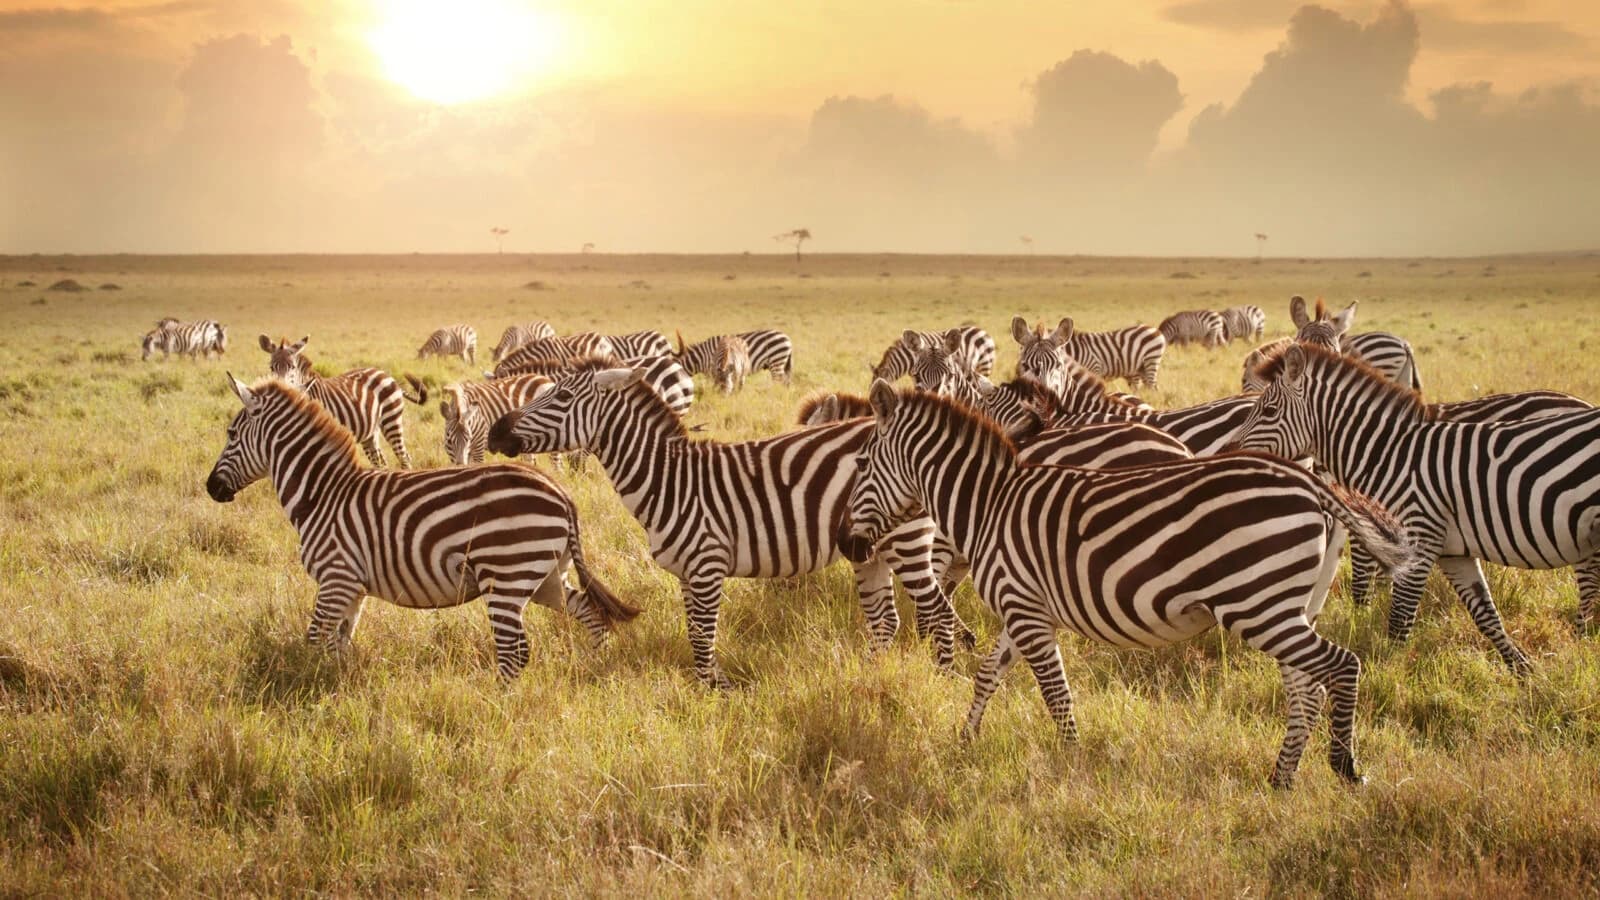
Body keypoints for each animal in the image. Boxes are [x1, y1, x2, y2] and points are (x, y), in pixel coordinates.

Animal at [206, 375, 638, 678]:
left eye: (230, 434)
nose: (211, 488)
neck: (323, 494)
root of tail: (562, 494)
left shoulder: (335, 578)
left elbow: (314, 640)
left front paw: (308, 689)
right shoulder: (353, 587)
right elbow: (339, 644)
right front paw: (336, 687)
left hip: (506, 575)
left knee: (515, 652)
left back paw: (498, 705)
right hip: (545, 575)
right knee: (588, 612)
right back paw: (595, 664)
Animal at [258, 335, 426, 467]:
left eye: (292, 367)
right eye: (272, 367)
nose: (281, 387)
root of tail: (386, 375)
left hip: (391, 419)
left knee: (404, 457)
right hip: (371, 431)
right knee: (381, 461)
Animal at [484, 358, 955, 683]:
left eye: (561, 398)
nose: (495, 432)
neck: (669, 481)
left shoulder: (707, 565)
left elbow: (702, 637)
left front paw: (715, 692)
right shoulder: (686, 574)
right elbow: (694, 632)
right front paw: (703, 690)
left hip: (906, 541)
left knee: (938, 612)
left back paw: (945, 677)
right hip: (869, 550)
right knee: (886, 620)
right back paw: (874, 675)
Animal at [840, 381, 1414, 789]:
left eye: (862, 463)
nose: (848, 545)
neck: (989, 504)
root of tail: (1311, 481)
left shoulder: (1024, 610)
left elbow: (1056, 694)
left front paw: (1071, 764)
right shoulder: (1022, 609)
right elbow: (987, 675)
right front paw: (965, 740)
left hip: (1259, 605)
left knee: (1341, 666)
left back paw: (1344, 765)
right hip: (1290, 606)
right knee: (1306, 688)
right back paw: (1281, 779)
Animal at [1227, 344, 1600, 670]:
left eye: (1269, 411)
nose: (1229, 451)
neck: (1390, 454)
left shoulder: (1416, 540)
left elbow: (1398, 623)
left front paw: (1388, 682)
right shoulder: (1452, 552)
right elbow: (1486, 616)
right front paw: (1525, 673)